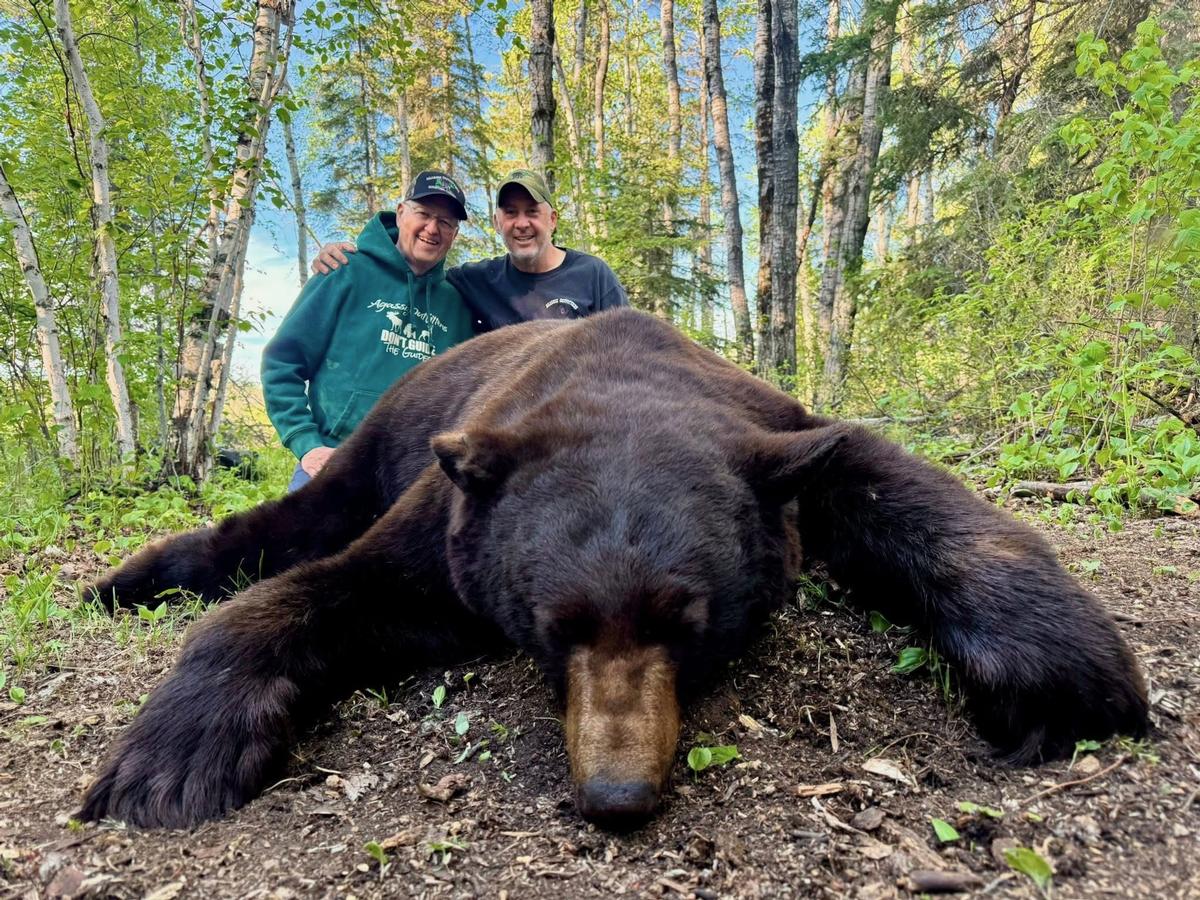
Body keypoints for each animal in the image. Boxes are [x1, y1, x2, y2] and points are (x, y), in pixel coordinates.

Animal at [79, 308, 1148, 830]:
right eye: (555, 631)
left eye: (691, 625)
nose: (616, 797)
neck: (622, 384)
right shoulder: (456, 524)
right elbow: (322, 592)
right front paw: (167, 763)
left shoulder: (778, 434)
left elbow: (908, 492)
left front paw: (1060, 674)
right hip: (386, 441)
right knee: (295, 519)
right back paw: (125, 579)